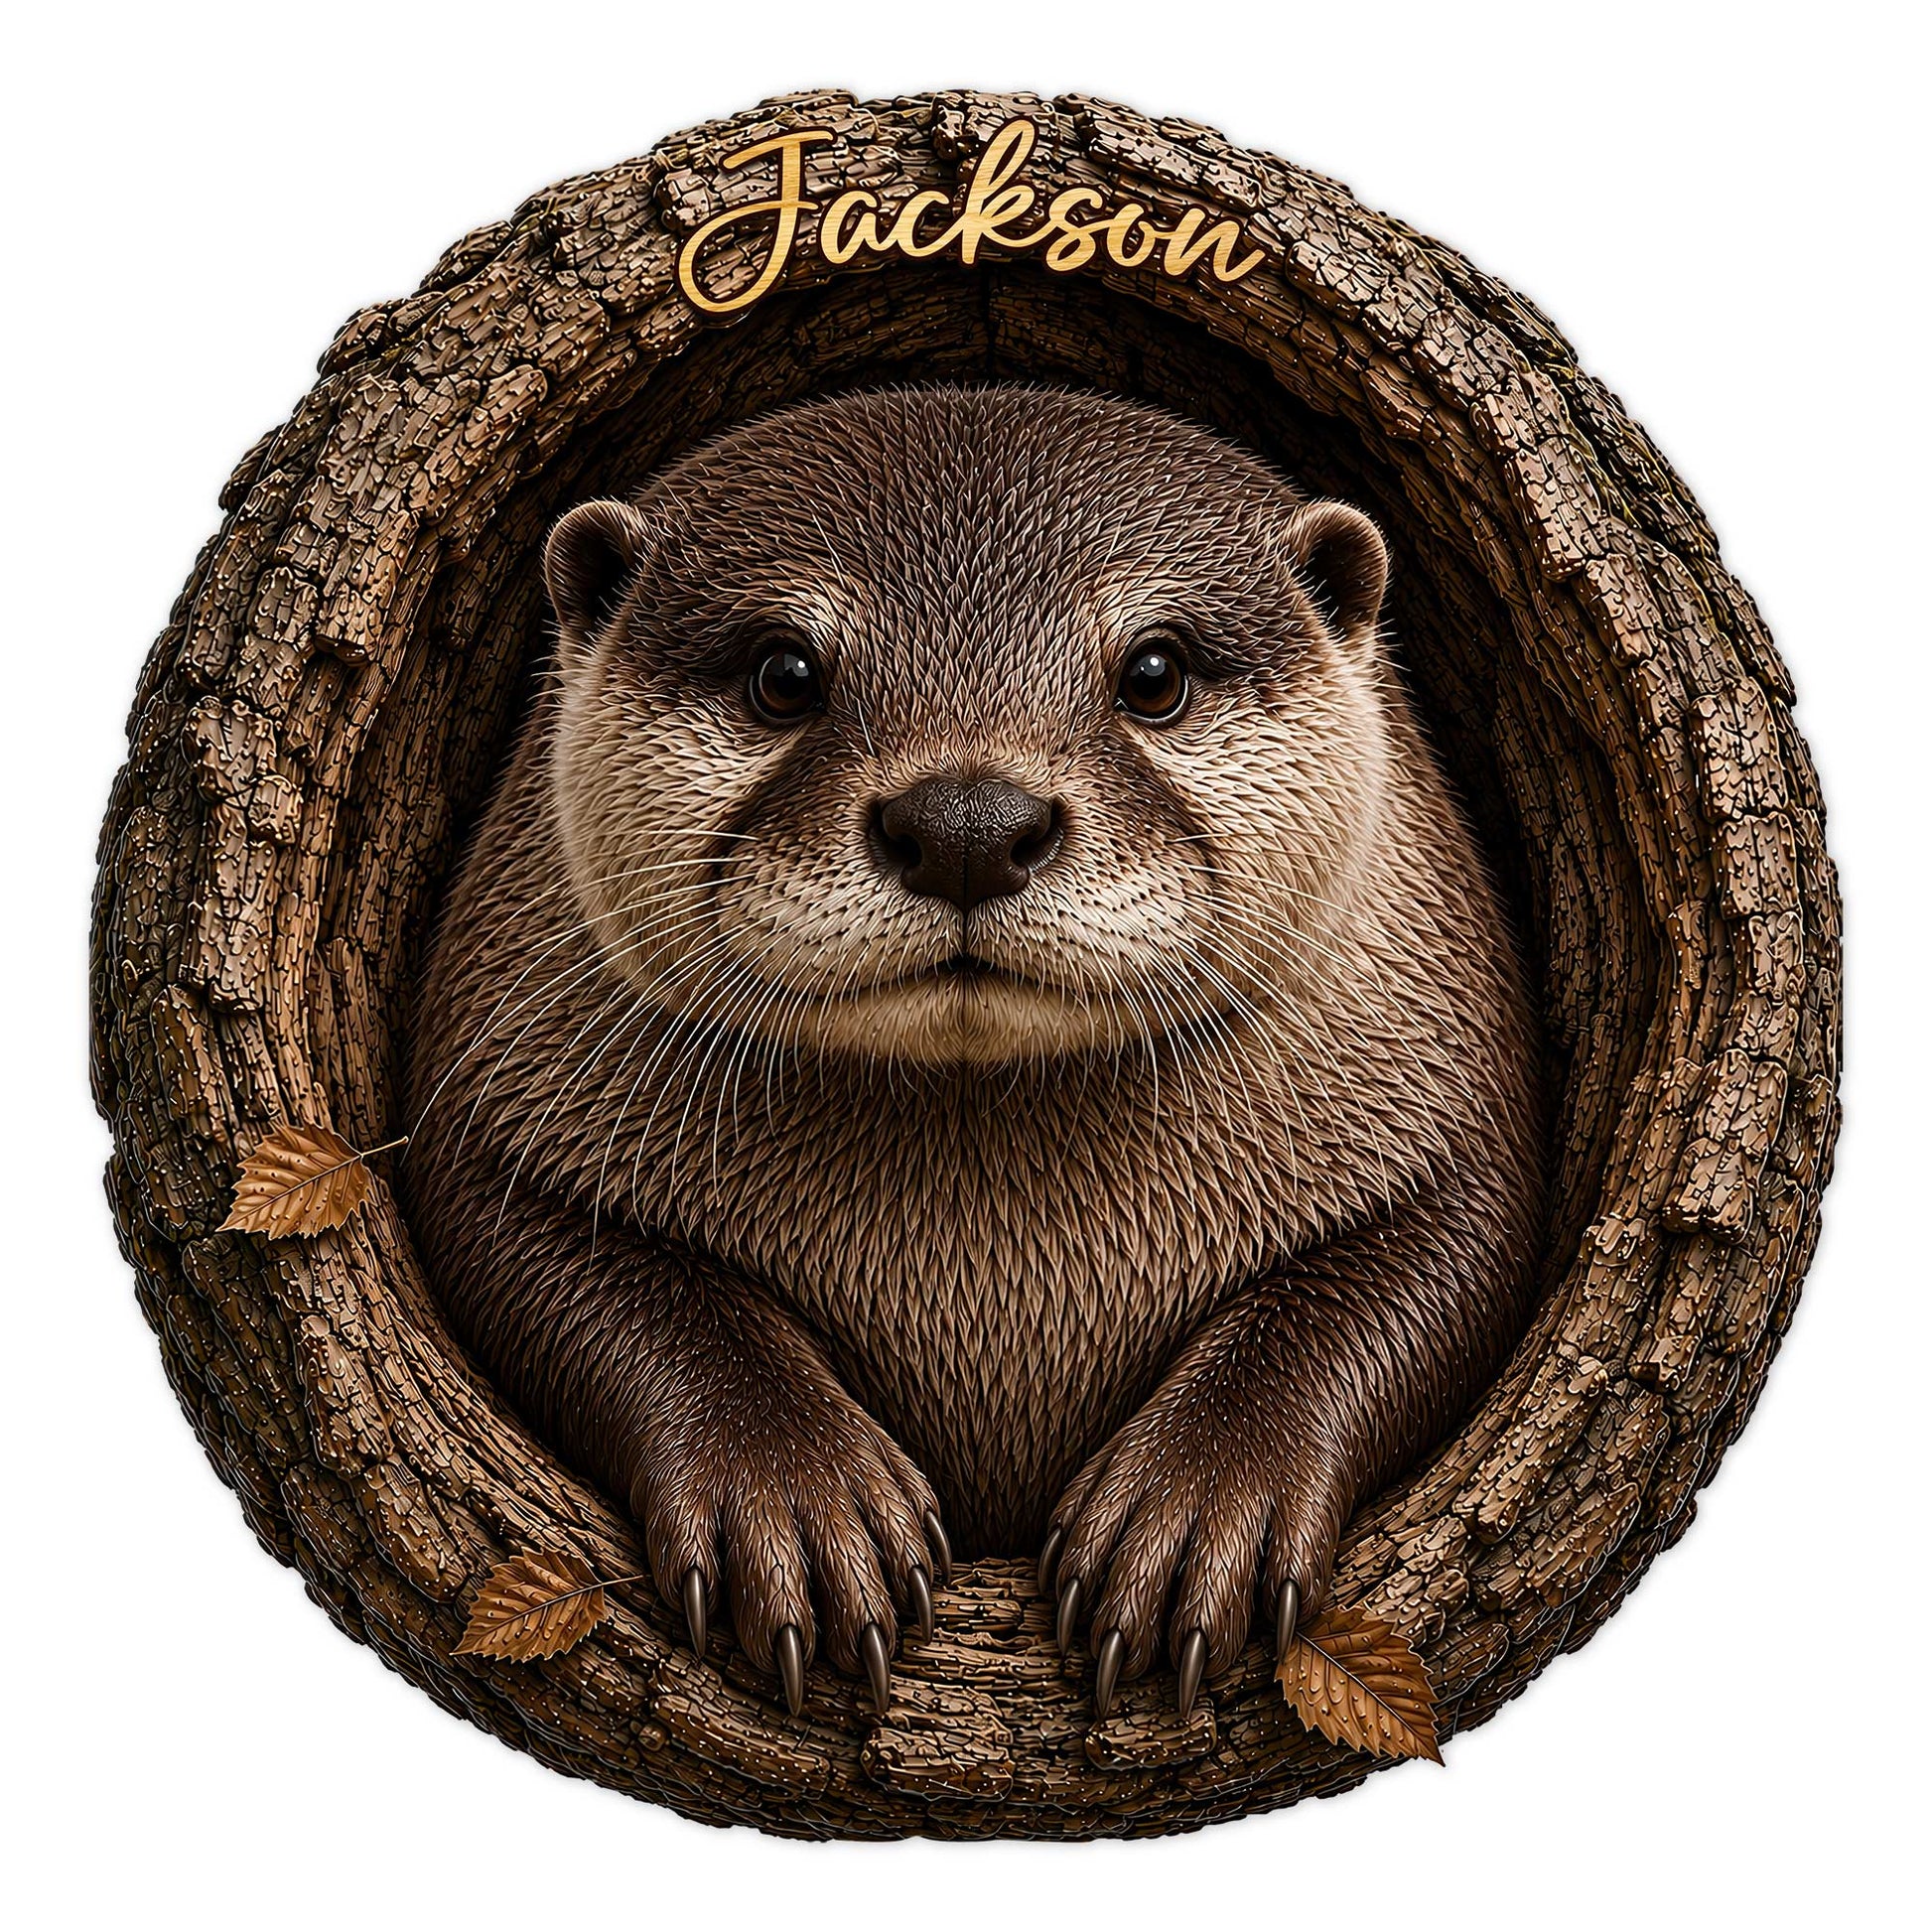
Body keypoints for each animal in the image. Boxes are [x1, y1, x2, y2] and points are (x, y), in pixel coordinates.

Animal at [406, 384, 1544, 1723]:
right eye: (783, 672)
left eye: (1153, 672)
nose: (963, 822)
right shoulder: (494, 1097)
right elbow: (594, 1281)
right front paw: (790, 1499)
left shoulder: (1452, 1098)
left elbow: (1412, 1275)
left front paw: (1197, 1511)